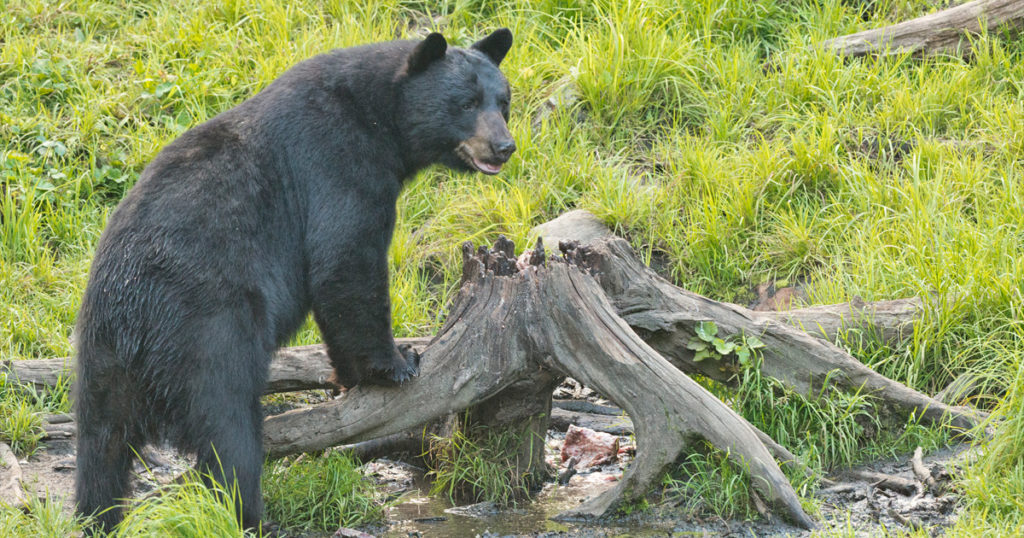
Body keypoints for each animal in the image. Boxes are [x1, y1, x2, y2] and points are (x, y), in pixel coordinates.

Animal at [74, 29, 515, 534]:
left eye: (503, 101)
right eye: (465, 103)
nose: (504, 146)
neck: (380, 118)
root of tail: (132, 325)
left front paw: (349, 377)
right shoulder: (338, 162)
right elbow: (345, 261)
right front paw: (397, 362)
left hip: (100, 364)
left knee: (101, 449)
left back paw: (99, 515)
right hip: (207, 332)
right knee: (229, 432)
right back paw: (249, 515)